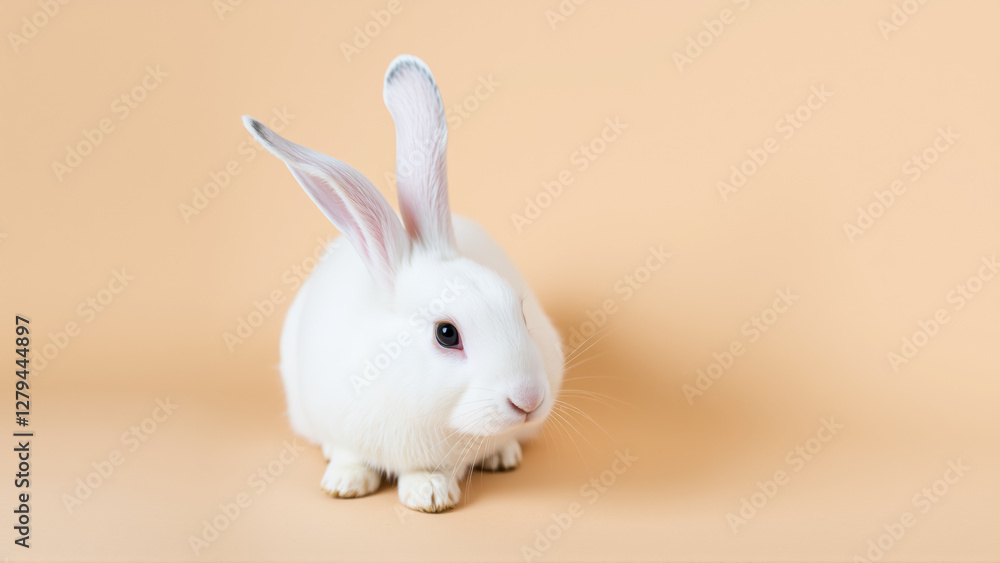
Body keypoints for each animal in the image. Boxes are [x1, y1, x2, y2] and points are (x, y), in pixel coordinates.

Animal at [242, 55, 564, 513]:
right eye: (446, 334)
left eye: (520, 313)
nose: (529, 399)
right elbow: (351, 455)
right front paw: (345, 483)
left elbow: (431, 471)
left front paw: (429, 493)